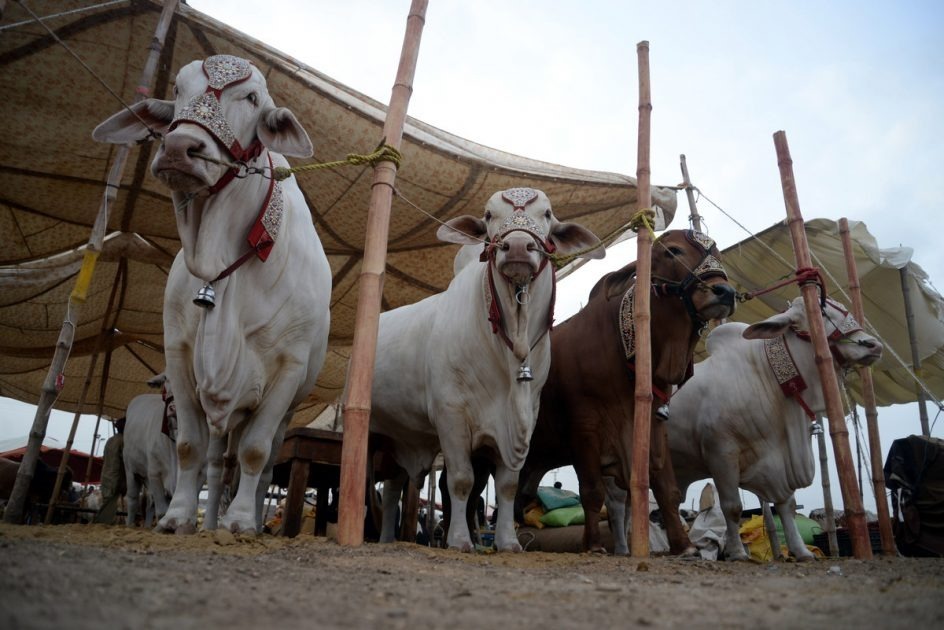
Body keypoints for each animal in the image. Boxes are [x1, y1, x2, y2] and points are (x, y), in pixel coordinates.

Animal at [95, 56, 332, 536]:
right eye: (178, 89)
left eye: (253, 98)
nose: (179, 147)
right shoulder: (181, 359)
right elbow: (190, 448)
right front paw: (178, 516)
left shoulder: (287, 370)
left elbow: (256, 452)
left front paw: (240, 521)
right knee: (217, 462)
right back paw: (206, 522)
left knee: (253, 461)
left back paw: (248, 518)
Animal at [366, 189, 596, 552]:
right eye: (489, 215)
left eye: (547, 214)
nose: (517, 248)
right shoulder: (451, 417)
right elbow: (461, 482)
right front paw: (460, 539)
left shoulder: (524, 420)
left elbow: (507, 488)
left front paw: (507, 541)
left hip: (401, 438)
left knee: (391, 489)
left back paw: (388, 538)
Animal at [516, 230, 736, 556]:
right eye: (672, 251)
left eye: (718, 254)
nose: (725, 292)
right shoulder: (585, 429)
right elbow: (592, 492)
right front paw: (594, 544)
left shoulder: (655, 423)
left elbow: (667, 489)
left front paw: (684, 545)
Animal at [668, 298, 880, 560]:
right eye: (821, 312)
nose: (873, 345)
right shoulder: (720, 453)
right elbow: (732, 507)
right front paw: (737, 552)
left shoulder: (777, 461)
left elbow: (786, 505)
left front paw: (801, 551)